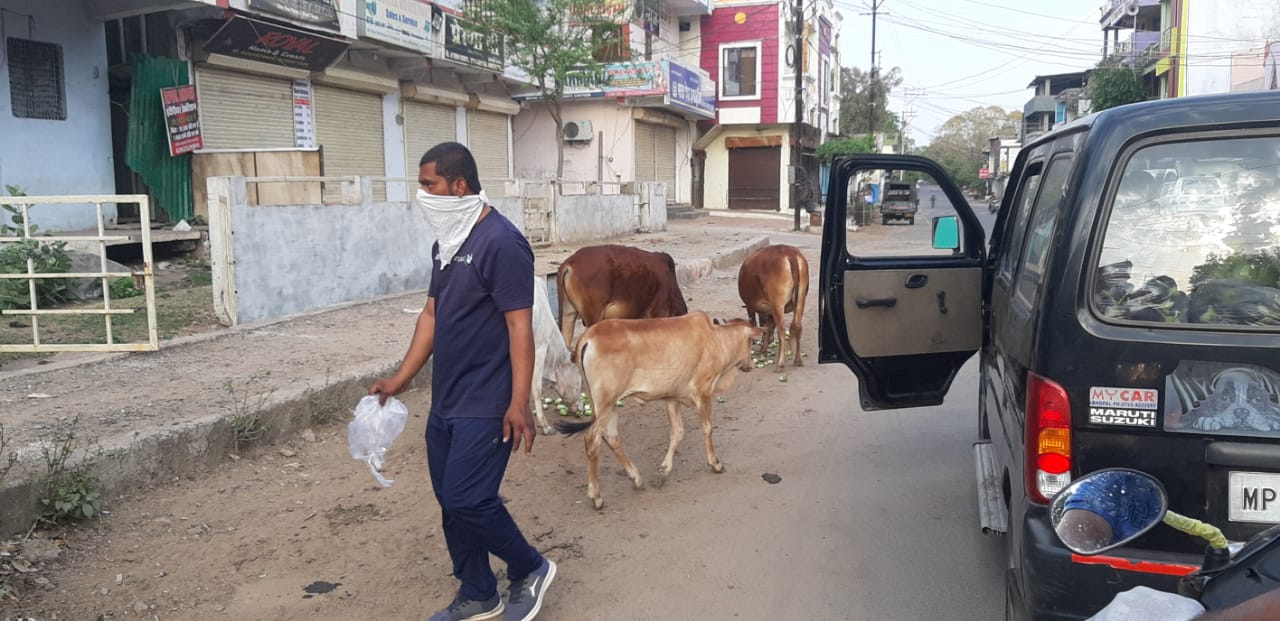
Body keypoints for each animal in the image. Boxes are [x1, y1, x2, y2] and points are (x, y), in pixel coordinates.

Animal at [552, 309, 757, 509]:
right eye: (751, 342)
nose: (750, 365)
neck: (716, 339)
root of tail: (586, 337)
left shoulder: (672, 398)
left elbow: (677, 432)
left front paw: (663, 472)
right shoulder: (703, 392)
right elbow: (707, 428)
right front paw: (715, 464)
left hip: (607, 406)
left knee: (611, 437)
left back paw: (636, 478)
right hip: (605, 403)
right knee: (592, 440)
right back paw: (596, 497)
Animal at [737, 240, 803, 368]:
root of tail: (788, 251)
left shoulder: (751, 307)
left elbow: (758, 324)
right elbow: (768, 326)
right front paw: (764, 347)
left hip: (777, 303)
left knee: (781, 329)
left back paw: (780, 364)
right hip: (801, 299)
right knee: (797, 326)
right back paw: (798, 360)